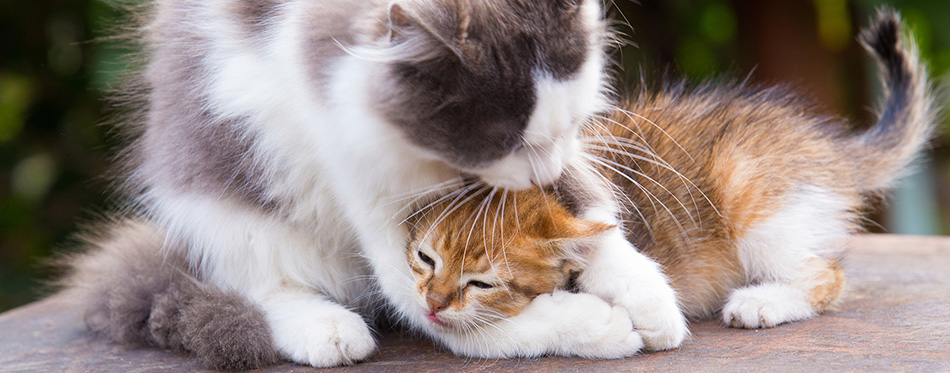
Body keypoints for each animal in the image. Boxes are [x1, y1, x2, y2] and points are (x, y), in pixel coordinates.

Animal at [65, 0, 692, 368]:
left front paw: (648, 296)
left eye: (568, 124)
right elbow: (449, 318)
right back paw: (322, 327)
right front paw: (592, 324)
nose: (544, 171)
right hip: (220, 200)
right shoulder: (355, 168)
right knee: (257, 280)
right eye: (509, 141)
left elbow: (589, 215)